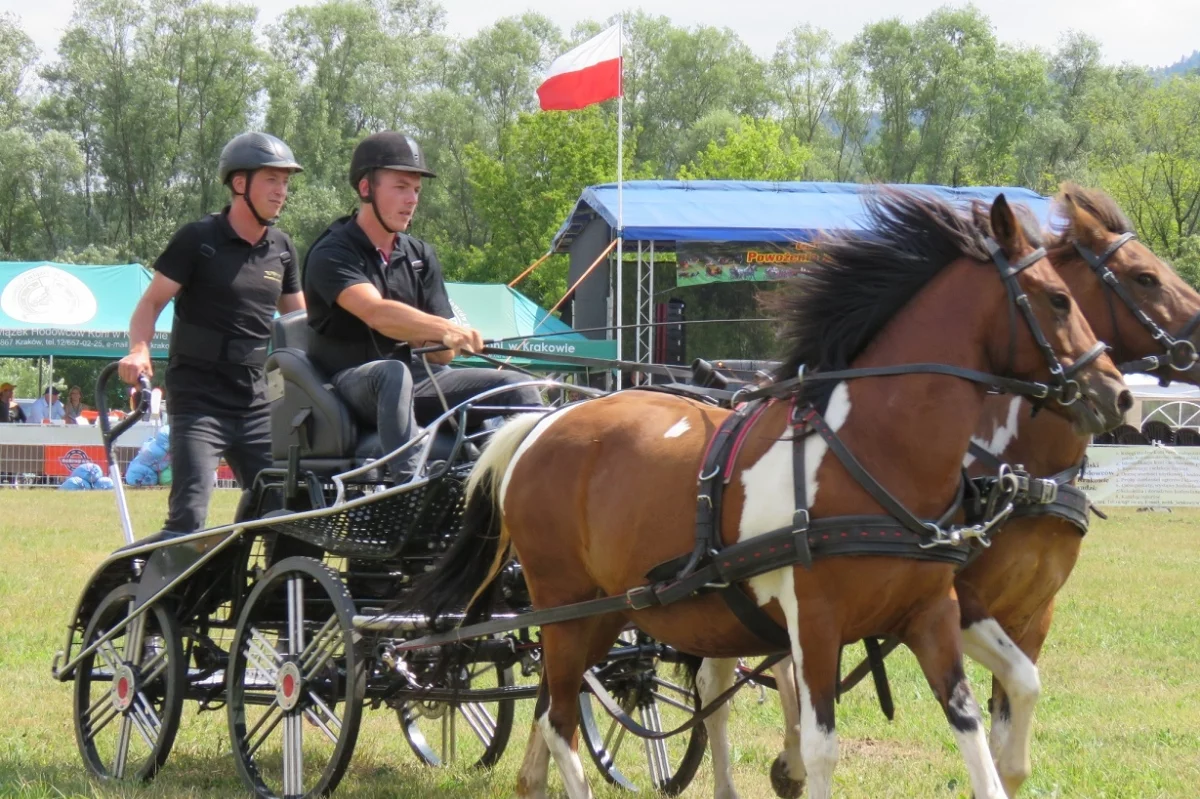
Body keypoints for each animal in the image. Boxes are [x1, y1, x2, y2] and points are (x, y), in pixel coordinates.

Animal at [408, 191, 1128, 796]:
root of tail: (540, 424)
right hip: (564, 605)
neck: (872, 448)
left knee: (555, 708)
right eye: (1057, 299)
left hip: (607, 610)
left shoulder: (932, 613)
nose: (1117, 394)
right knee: (561, 723)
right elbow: (820, 746)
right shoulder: (816, 622)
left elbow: (976, 724)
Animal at [748, 184, 1200, 796]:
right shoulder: (964, 603)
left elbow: (1014, 717)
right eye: (1144, 277)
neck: (1025, 471)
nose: (1122, 396)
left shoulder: (1032, 615)